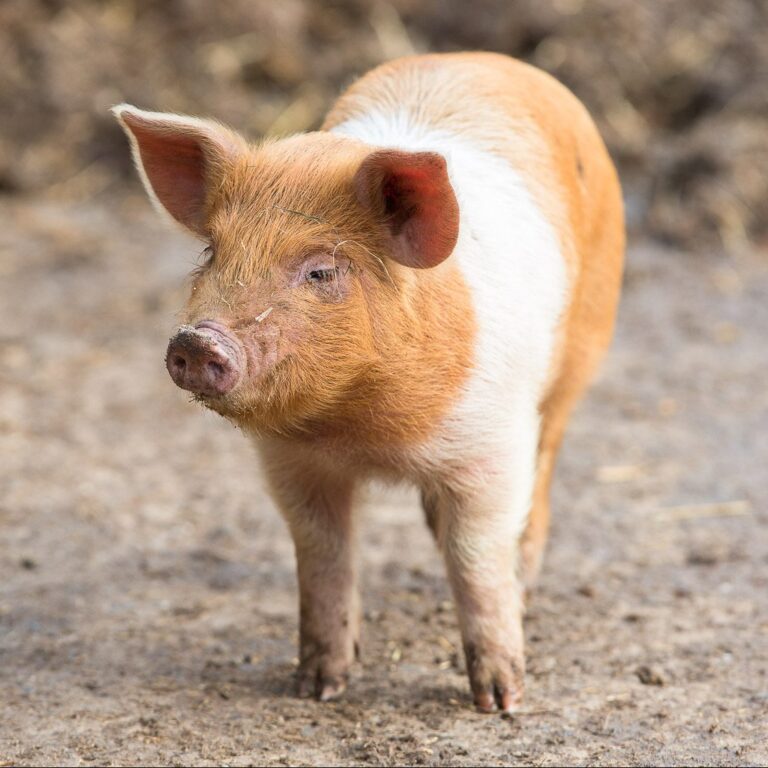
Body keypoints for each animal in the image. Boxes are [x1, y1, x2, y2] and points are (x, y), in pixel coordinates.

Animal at [113, 51, 624, 714]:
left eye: (321, 271)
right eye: (211, 253)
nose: (197, 341)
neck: (361, 431)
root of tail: (488, 61)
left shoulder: (492, 445)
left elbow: (476, 557)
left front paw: (500, 702)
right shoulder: (291, 463)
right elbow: (322, 553)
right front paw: (317, 688)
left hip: (581, 351)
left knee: (547, 463)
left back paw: (526, 581)